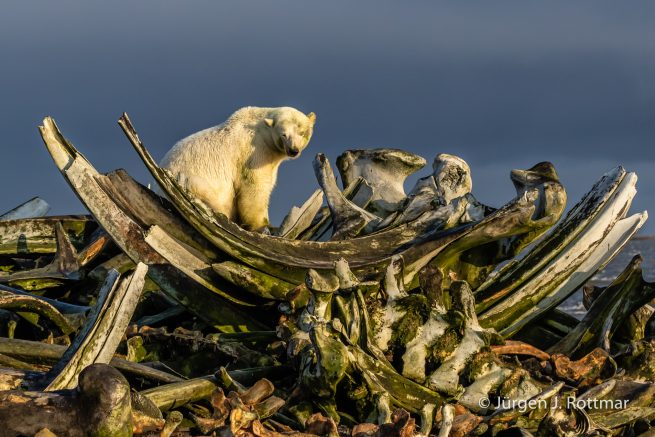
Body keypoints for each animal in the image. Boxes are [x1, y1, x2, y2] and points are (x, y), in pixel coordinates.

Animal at [159, 106, 316, 231]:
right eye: (283, 134)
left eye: (302, 132)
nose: (293, 150)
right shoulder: (254, 153)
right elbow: (254, 187)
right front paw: (262, 225)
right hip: (192, 180)